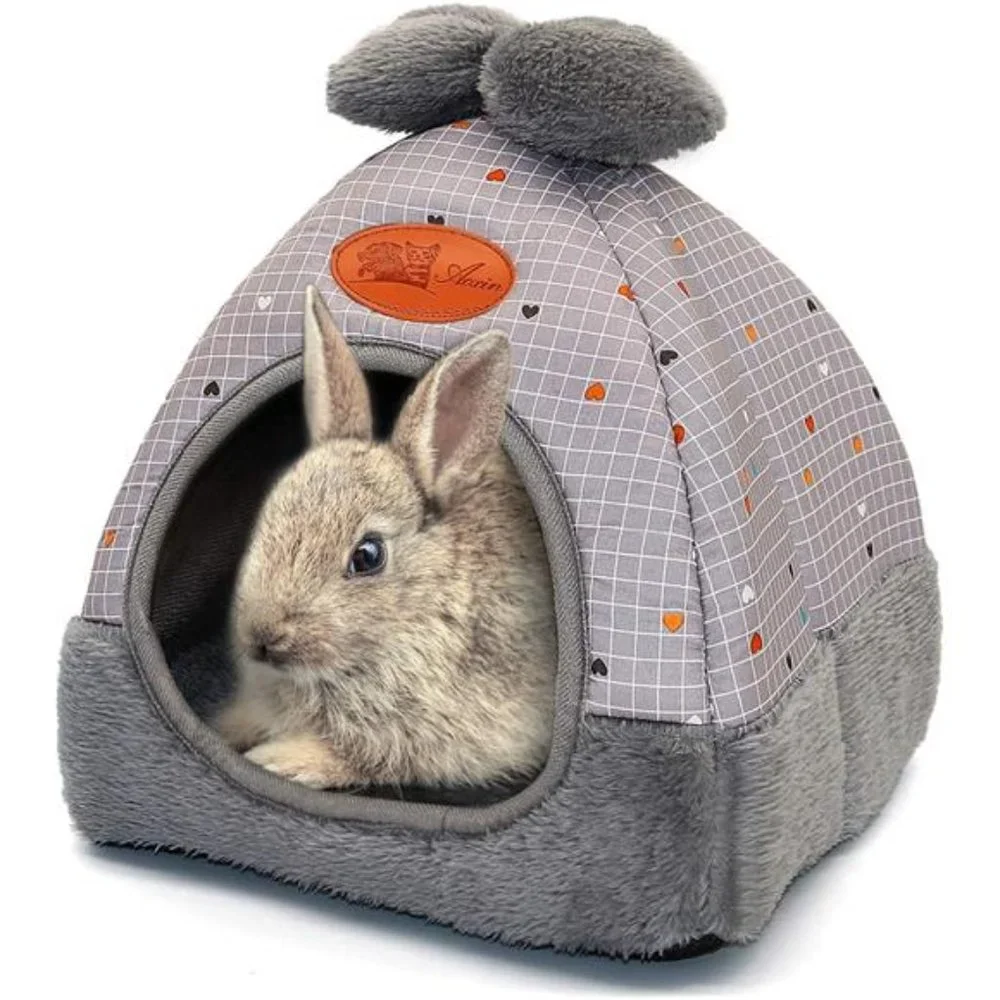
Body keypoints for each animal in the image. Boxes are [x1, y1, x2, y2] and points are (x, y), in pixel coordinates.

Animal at [211, 285, 557, 790]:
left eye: (368, 556)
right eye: (270, 512)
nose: (262, 636)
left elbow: (370, 758)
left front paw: (279, 759)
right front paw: (227, 726)